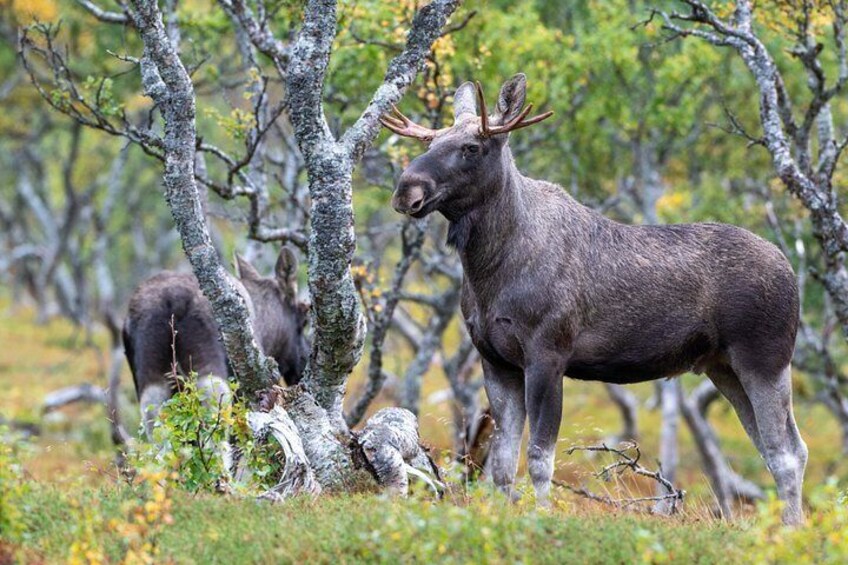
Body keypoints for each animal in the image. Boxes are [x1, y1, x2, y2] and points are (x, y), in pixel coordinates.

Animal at [382, 74, 807, 525]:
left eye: (471, 148)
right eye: (430, 142)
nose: (406, 190)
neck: (489, 269)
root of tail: (791, 270)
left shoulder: (548, 354)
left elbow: (539, 457)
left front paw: (542, 516)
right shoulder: (495, 361)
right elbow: (502, 462)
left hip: (764, 359)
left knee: (787, 452)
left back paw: (792, 530)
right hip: (722, 367)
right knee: (774, 448)